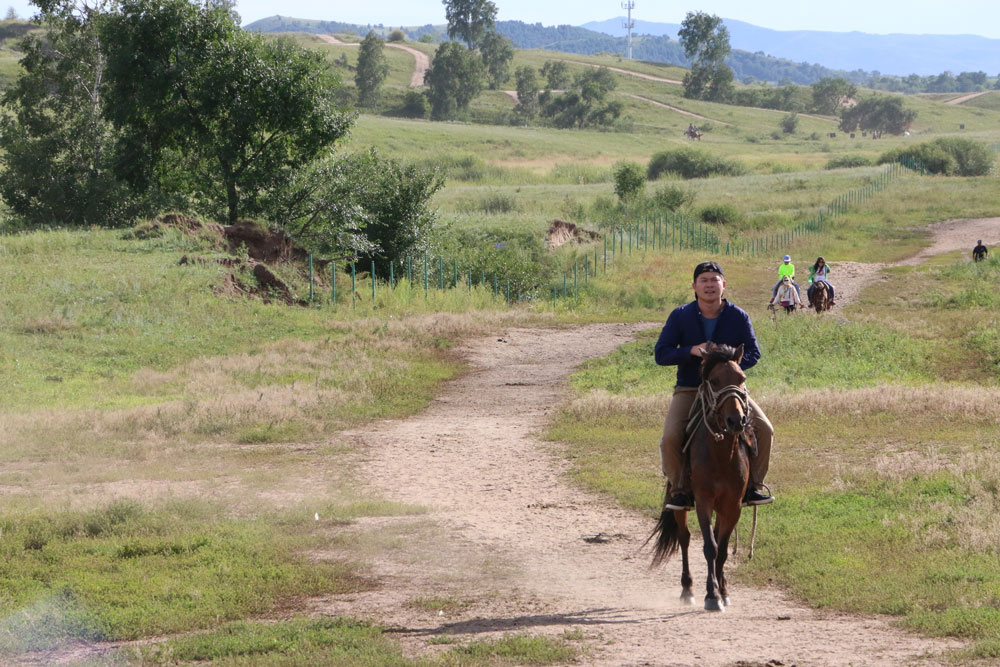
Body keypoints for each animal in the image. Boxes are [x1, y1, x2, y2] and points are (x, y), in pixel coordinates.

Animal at [648, 344, 752, 612]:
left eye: (742, 378)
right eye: (714, 381)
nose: (736, 420)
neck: (721, 455)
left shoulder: (733, 505)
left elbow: (722, 548)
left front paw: (722, 591)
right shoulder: (703, 501)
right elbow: (709, 547)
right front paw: (711, 595)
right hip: (681, 502)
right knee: (684, 538)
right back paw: (687, 589)